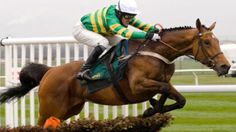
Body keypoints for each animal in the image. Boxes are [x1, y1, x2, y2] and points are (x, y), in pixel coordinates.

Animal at [0, 19, 230, 127]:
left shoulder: (163, 82)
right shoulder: (138, 86)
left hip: (68, 109)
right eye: (207, 42)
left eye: (218, 41)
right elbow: (165, 89)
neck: (156, 53)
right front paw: (152, 108)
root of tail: (50, 71)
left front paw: (153, 108)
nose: (225, 67)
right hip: (49, 108)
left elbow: (177, 97)